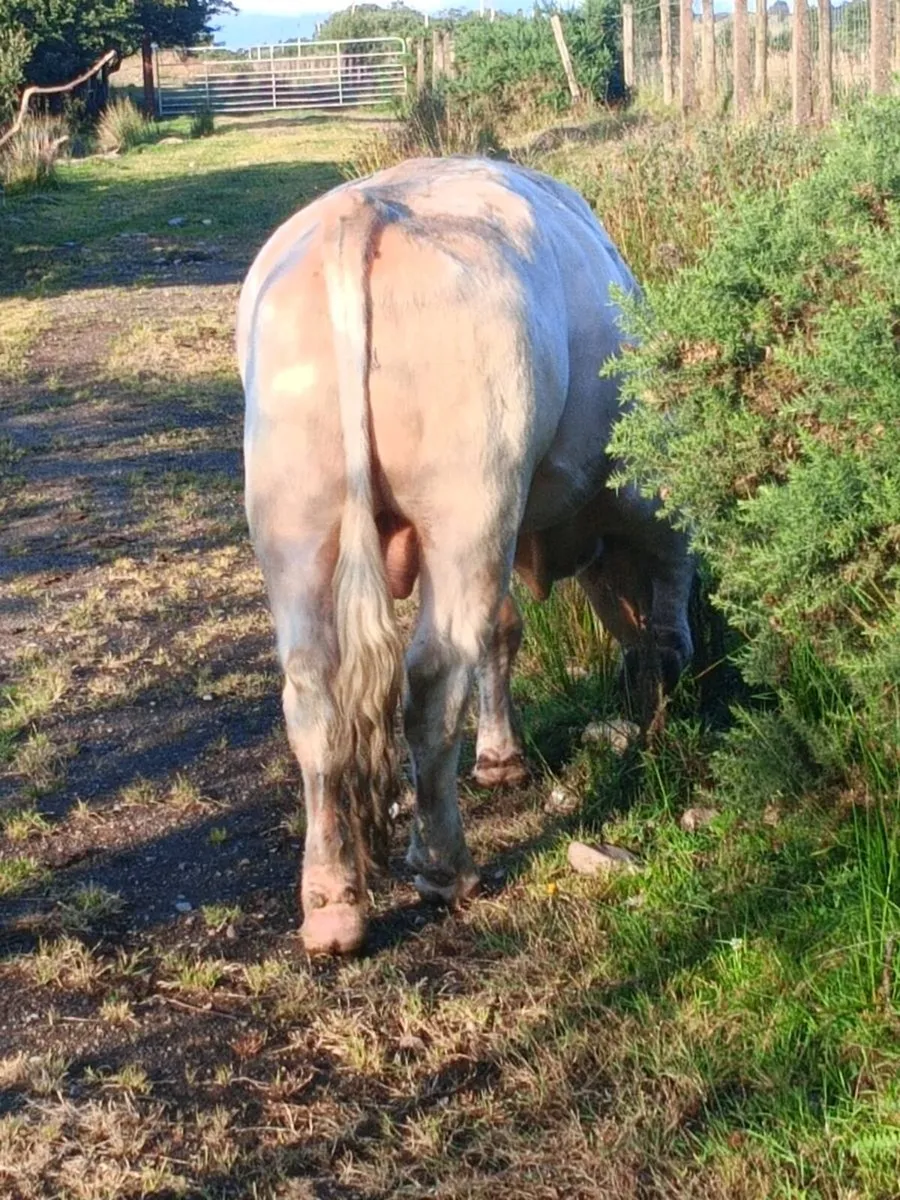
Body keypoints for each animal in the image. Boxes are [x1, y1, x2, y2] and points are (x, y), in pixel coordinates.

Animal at [236, 157, 693, 956]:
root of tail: (362, 209)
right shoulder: (633, 485)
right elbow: (667, 575)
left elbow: (504, 631)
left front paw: (501, 757)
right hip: (468, 501)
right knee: (433, 676)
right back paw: (445, 867)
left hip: (295, 520)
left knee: (313, 693)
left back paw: (332, 904)